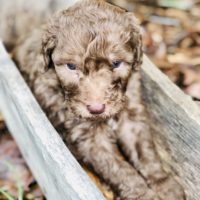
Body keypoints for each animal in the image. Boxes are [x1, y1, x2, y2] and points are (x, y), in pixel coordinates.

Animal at [12, 0, 185, 200]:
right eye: (71, 66)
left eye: (116, 63)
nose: (96, 109)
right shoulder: (89, 137)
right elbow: (119, 169)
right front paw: (142, 194)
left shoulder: (132, 116)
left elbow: (145, 151)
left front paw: (163, 184)